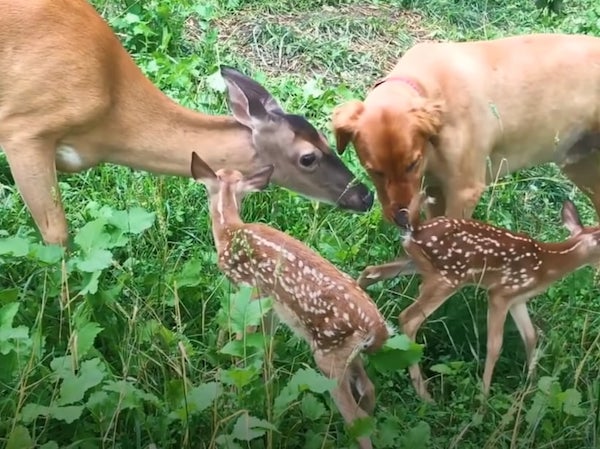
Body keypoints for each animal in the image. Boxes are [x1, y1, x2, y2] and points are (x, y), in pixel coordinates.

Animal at [190, 151, 392, 448]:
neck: (230, 230)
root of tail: (377, 327)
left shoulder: (248, 288)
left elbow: (242, 340)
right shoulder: (271, 307)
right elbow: (264, 346)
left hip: (327, 356)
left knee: (355, 417)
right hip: (345, 353)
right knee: (368, 390)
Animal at [332, 33, 600, 226]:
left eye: (412, 164)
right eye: (374, 171)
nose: (402, 219)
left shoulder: (464, 191)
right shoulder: (434, 189)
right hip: (583, 171)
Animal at [358, 194, 596, 400]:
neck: (545, 265)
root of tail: (414, 230)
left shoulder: (517, 298)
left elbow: (530, 335)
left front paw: (532, 385)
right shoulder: (500, 293)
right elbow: (494, 345)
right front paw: (483, 397)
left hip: (414, 262)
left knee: (370, 271)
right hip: (447, 278)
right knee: (408, 318)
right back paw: (424, 394)